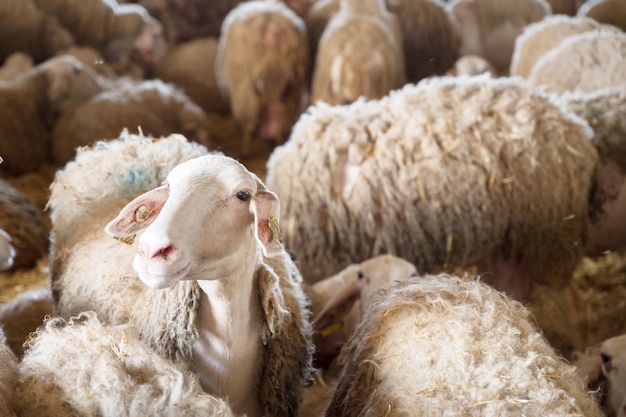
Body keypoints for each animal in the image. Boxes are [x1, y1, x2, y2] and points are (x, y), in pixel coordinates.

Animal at [214, 0, 310, 156]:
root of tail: (272, 33)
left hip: (246, 93)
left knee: (249, 125)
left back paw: (245, 150)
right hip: (290, 88)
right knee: (280, 116)